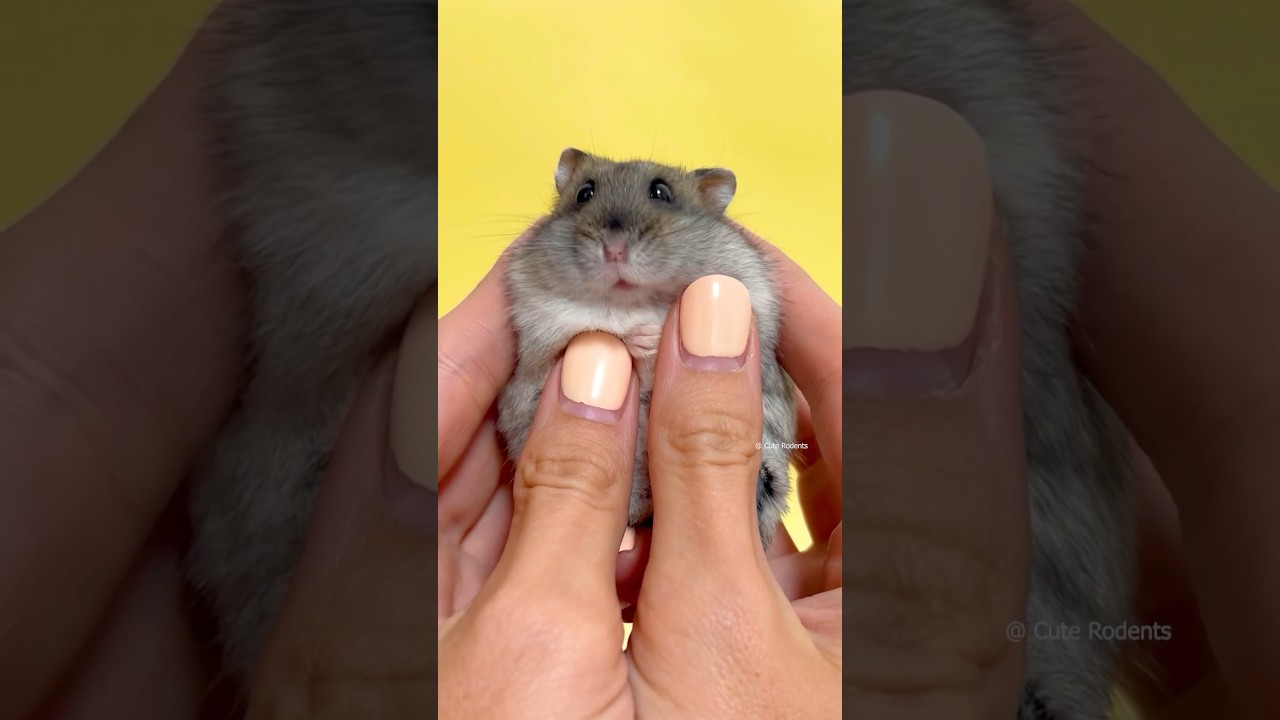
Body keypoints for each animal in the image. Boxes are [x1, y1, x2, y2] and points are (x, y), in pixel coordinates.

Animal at [497, 149, 798, 546]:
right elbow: (587, 333)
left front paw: (654, 334)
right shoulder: (539, 337)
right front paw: (639, 337)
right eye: (584, 194)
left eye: (661, 192)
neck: (631, 301)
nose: (614, 250)